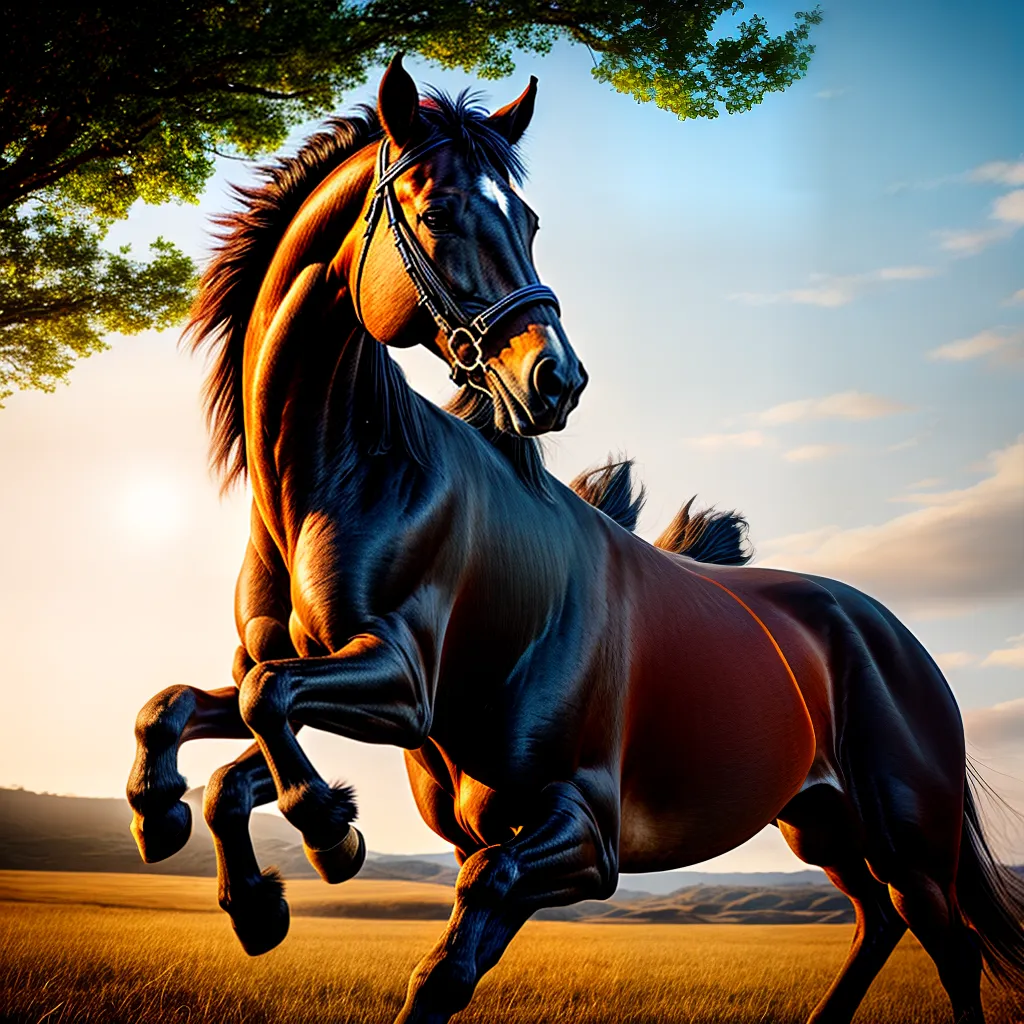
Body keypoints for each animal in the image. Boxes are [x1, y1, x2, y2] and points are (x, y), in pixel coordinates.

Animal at [126, 56, 1024, 1024]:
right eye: (437, 213)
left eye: (527, 220)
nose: (555, 379)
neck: (340, 490)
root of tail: (898, 638)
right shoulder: (388, 716)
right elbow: (198, 718)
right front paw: (199, 845)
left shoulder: (551, 809)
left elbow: (287, 731)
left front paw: (330, 836)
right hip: (821, 822)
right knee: (875, 922)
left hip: (910, 842)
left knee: (948, 946)